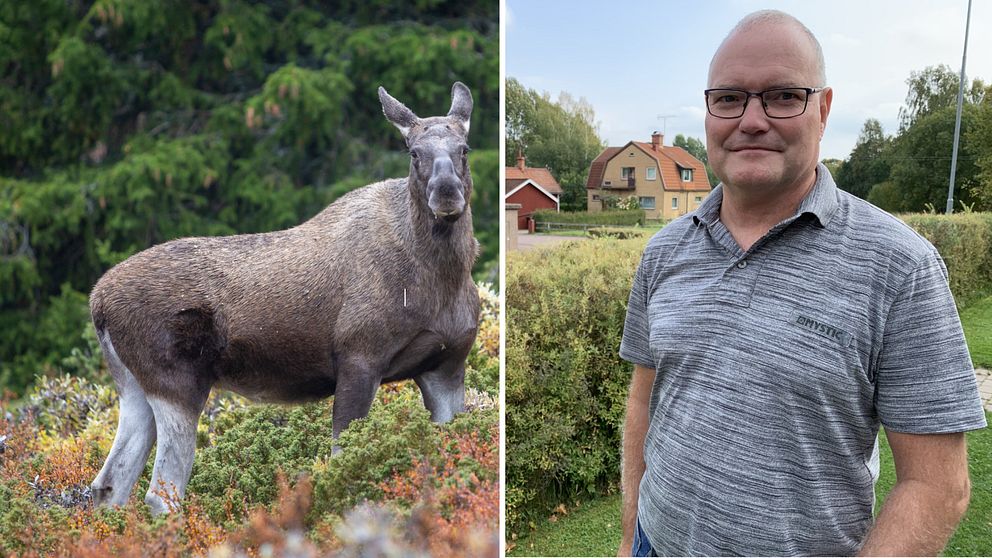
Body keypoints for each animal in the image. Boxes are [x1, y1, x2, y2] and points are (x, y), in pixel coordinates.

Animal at [87, 82, 482, 516]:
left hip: (134, 388)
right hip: (177, 382)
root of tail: (97, 302)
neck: (441, 278)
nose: (446, 192)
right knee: (160, 493)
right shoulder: (359, 358)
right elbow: (344, 464)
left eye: (464, 148)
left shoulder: (446, 365)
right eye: (413, 152)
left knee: (108, 484)